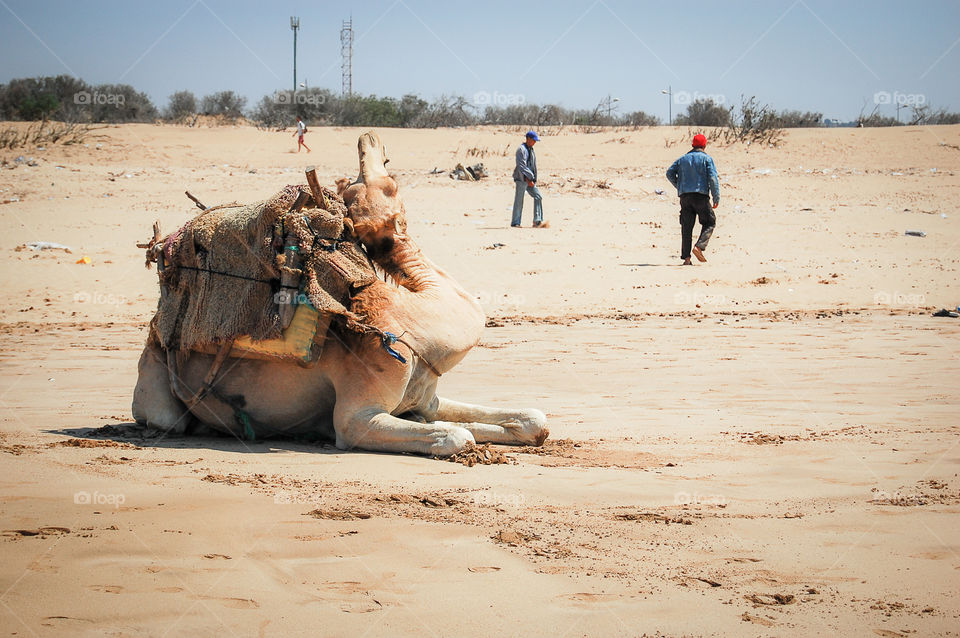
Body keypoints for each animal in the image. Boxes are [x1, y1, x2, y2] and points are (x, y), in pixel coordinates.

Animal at [131, 132, 548, 458]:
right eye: (385, 182)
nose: (370, 138)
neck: (418, 327)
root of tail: (155, 330)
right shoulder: (357, 417)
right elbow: (457, 436)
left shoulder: (426, 401)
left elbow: (534, 420)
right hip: (157, 385)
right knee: (166, 418)